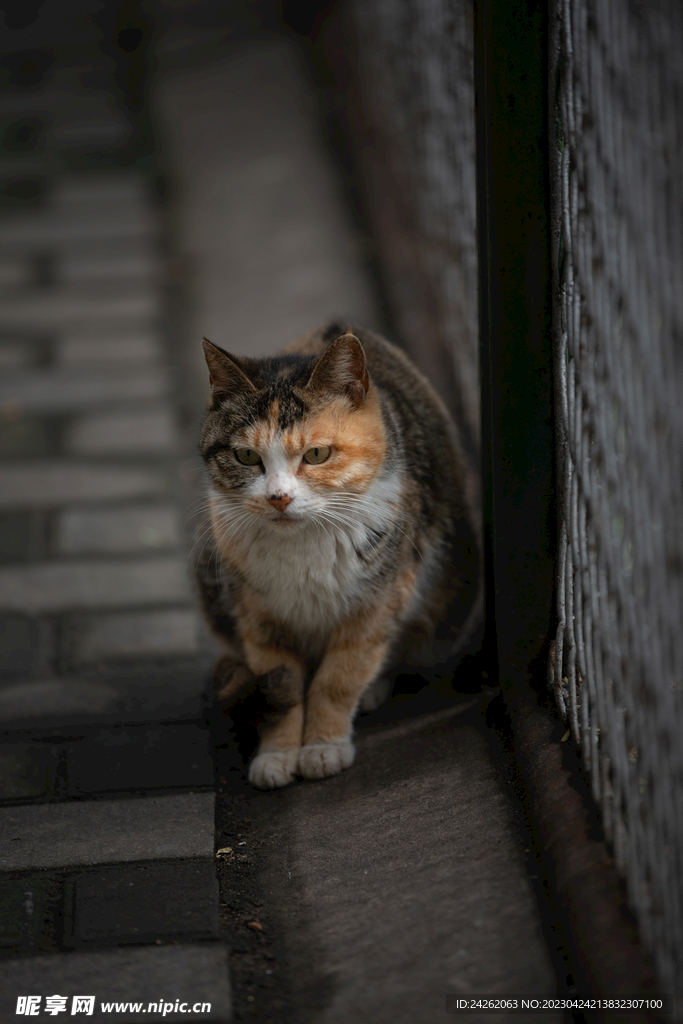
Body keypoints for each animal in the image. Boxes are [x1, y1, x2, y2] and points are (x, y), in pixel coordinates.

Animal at [193, 323, 481, 786]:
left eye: (316, 454)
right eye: (246, 455)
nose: (278, 498)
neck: (304, 546)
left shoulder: (379, 597)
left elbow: (339, 677)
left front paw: (322, 747)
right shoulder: (258, 615)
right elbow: (283, 681)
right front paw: (277, 754)